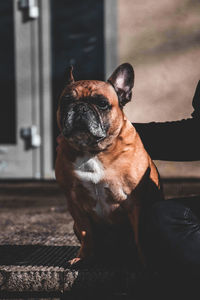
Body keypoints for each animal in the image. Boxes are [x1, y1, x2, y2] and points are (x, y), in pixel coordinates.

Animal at [55, 63, 162, 264]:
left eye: (102, 103)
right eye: (66, 101)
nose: (80, 107)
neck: (93, 151)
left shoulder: (135, 202)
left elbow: (139, 236)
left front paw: (144, 261)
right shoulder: (74, 202)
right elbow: (86, 232)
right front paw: (83, 257)